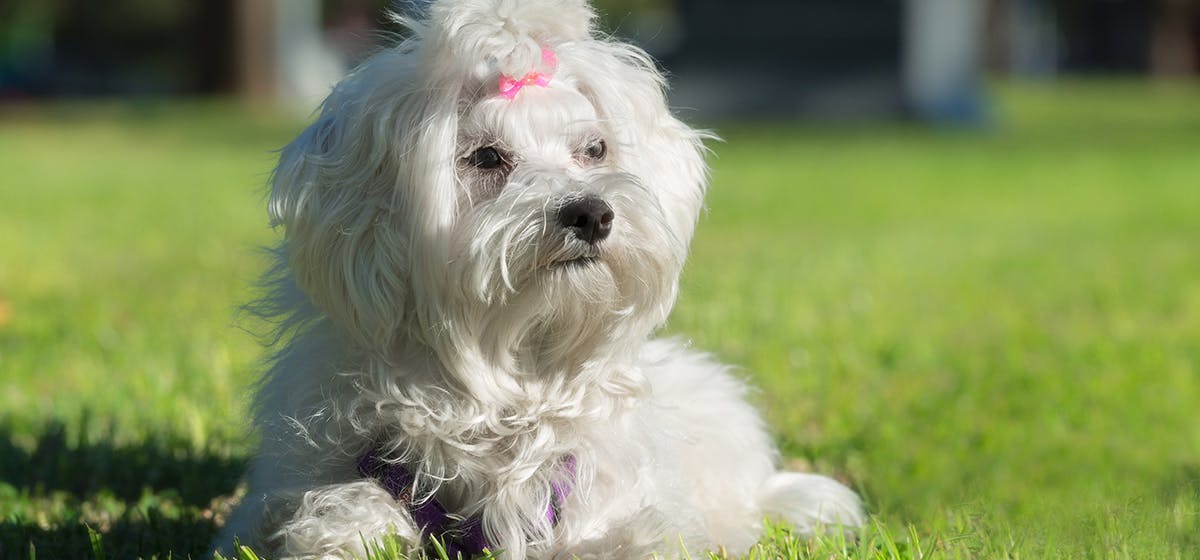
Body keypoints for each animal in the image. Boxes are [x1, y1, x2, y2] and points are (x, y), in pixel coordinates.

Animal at [213, 2, 864, 558]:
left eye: (595, 149)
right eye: (485, 158)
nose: (592, 214)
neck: (511, 373)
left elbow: (641, 533)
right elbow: (337, 510)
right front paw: (348, 527)